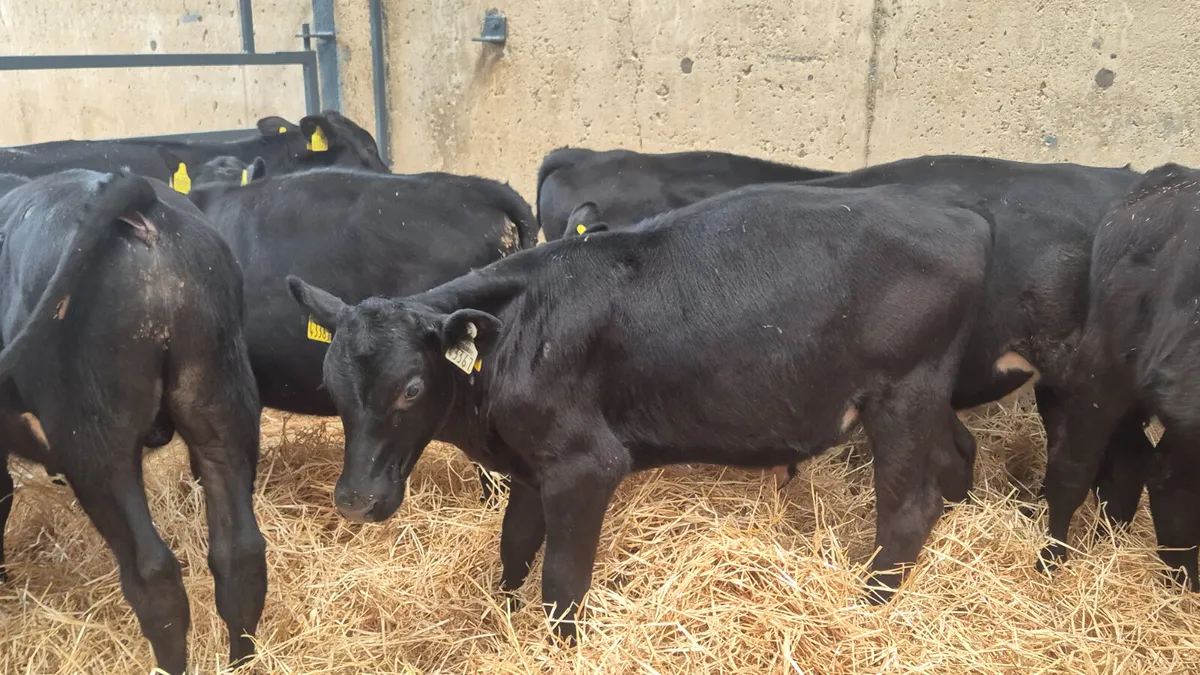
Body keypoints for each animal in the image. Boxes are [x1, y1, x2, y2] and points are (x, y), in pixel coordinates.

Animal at [287, 181, 994, 642]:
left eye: (410, 388)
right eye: (331, 385)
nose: (354, 500)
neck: (515, 332)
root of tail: (961, 216)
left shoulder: (585, 465)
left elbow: (562, 581)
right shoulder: (531, 466)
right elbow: (514, 550)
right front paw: (502, 619)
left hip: (901, 395)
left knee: (908, 509)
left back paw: (867, 606)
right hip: (927, 397)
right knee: (957, 455)